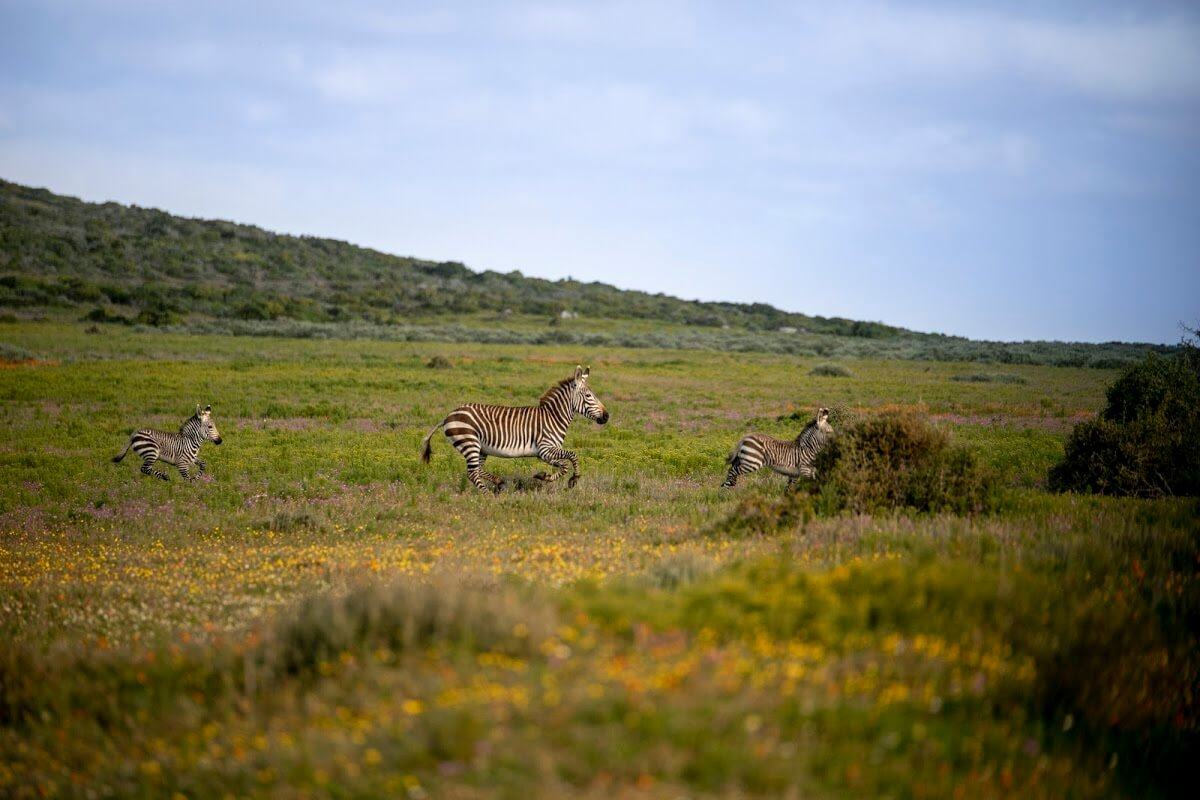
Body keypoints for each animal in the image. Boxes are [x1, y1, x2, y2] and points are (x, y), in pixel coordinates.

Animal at [422, 367, 609, 491]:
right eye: (588, 396)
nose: (607, 416)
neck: (553, 417)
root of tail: (449, 415)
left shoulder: (547, 453)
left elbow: (565, 463)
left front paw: (546, 476)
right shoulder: (545, 449)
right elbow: (570, 459)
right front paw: (570, 480)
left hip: (481, 448)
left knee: (477, 470)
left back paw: (498, 482)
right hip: (470, 442)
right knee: (472, 473)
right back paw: (487, 496)